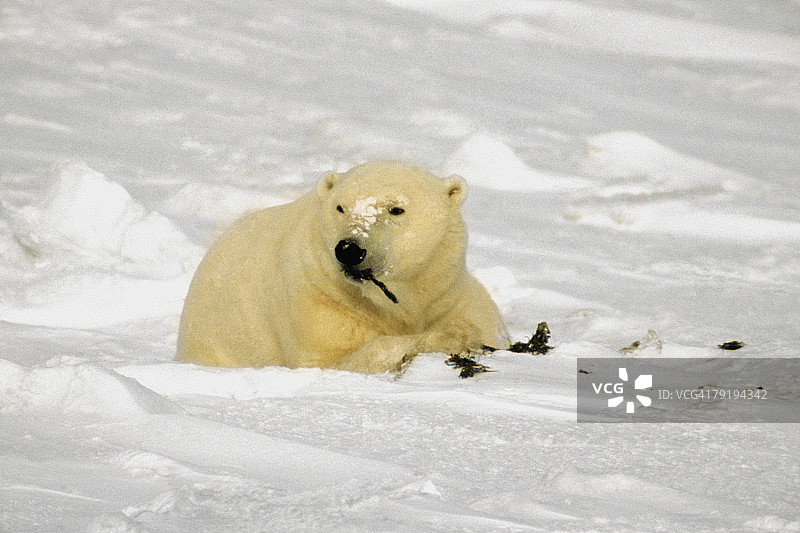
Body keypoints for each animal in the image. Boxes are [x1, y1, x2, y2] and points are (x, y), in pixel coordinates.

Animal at [177, 161, 509, 373]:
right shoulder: (315, 297)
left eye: (396, 209)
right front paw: (449, 338)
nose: (349, 250)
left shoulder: (447, 291)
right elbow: (330, 360)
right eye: (340, 207)